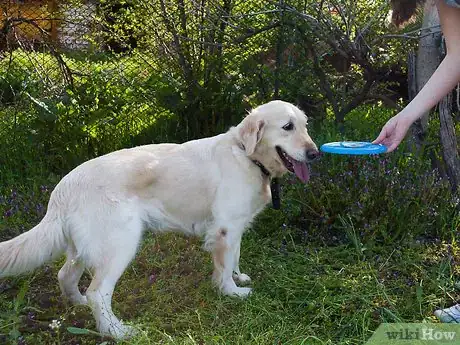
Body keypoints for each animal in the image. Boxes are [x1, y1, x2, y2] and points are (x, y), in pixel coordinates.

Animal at [0, 99, 318, 336]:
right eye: (287, 127)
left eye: (305, 125)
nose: (315, 154)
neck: (246, 155)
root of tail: (62, 189)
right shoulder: (226, 228)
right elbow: (225, 266)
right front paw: (231, 292)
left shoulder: (235, 226)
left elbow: (235, 257)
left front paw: (239, 277)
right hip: (120, 244)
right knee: (98, 293)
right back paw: (117, 332)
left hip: (84, 247)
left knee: (65, 276)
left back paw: (78, 303)